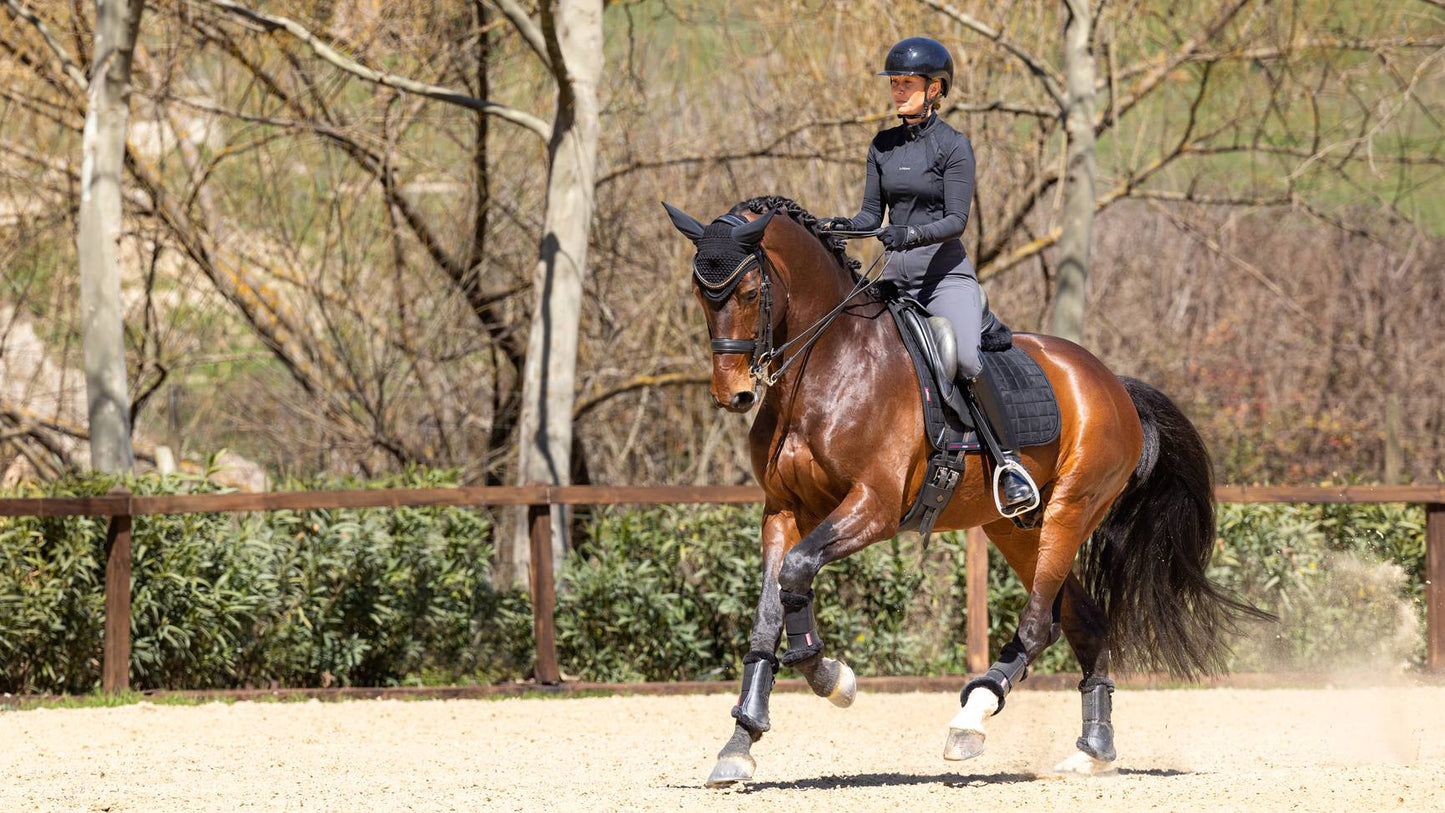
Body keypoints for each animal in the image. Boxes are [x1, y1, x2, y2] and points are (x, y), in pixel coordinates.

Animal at [661, 193, 1271, 785]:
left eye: (748, 290)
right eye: (699, 293)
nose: (734, 395)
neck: (826, 366)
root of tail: (1111, 382)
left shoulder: (874, 507)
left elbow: (796, 573)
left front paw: (833, 677)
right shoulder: (783, 512)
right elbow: (769, 612)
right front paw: (741, 742)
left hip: (1071, 510)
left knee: (1038, 624)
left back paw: (971, 719)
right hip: (1015, 529)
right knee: (1085, 622)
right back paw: (1093, 751)